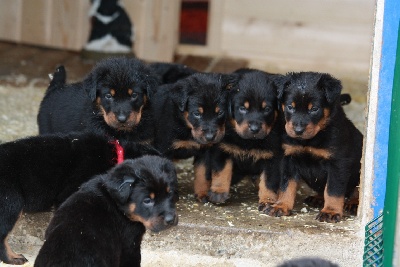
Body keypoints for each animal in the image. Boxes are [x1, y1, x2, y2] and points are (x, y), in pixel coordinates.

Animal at [194, 69, 282, 205]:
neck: (248, 142)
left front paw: (267, 200)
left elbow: (269, 181)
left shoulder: (272, 158)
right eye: (242, 108)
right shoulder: (223, 149)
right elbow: (221, 171)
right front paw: (218, 192)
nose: (255, 129)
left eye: (267, 109)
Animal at [264, 72, 364, 223]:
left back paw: (353, 203)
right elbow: (286, 186)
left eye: (314, 109)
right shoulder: (289, 159)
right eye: (290, 107)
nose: (298, 130)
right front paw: (281, 206)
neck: (309, 140)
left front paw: (330, 212)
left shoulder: (338, 163)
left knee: (356, 190)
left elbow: (333, 190)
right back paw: (318, 198)